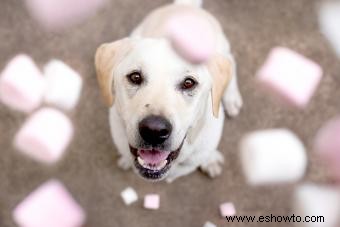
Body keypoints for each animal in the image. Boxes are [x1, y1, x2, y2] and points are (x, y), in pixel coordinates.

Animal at [95, 0, 243, 182]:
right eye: (135, 77)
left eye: (189, 83)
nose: (154, 131)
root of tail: (185, 6)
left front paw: (210, 160)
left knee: (232, 62)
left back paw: (232, 98)